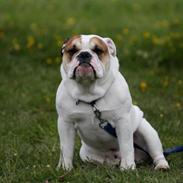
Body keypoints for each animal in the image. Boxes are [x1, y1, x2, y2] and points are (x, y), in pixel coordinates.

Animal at [56, 35, 170, 171]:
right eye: (72, 51)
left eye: (98, 50)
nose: (84, 54)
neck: (89, 94)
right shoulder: (65, 123)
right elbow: (66, 148)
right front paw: (65, 168)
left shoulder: (122, 121)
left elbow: (126, 146)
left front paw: (128, 167)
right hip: (85, 153)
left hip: (148, 132)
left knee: (157, 153)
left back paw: (162, 165)